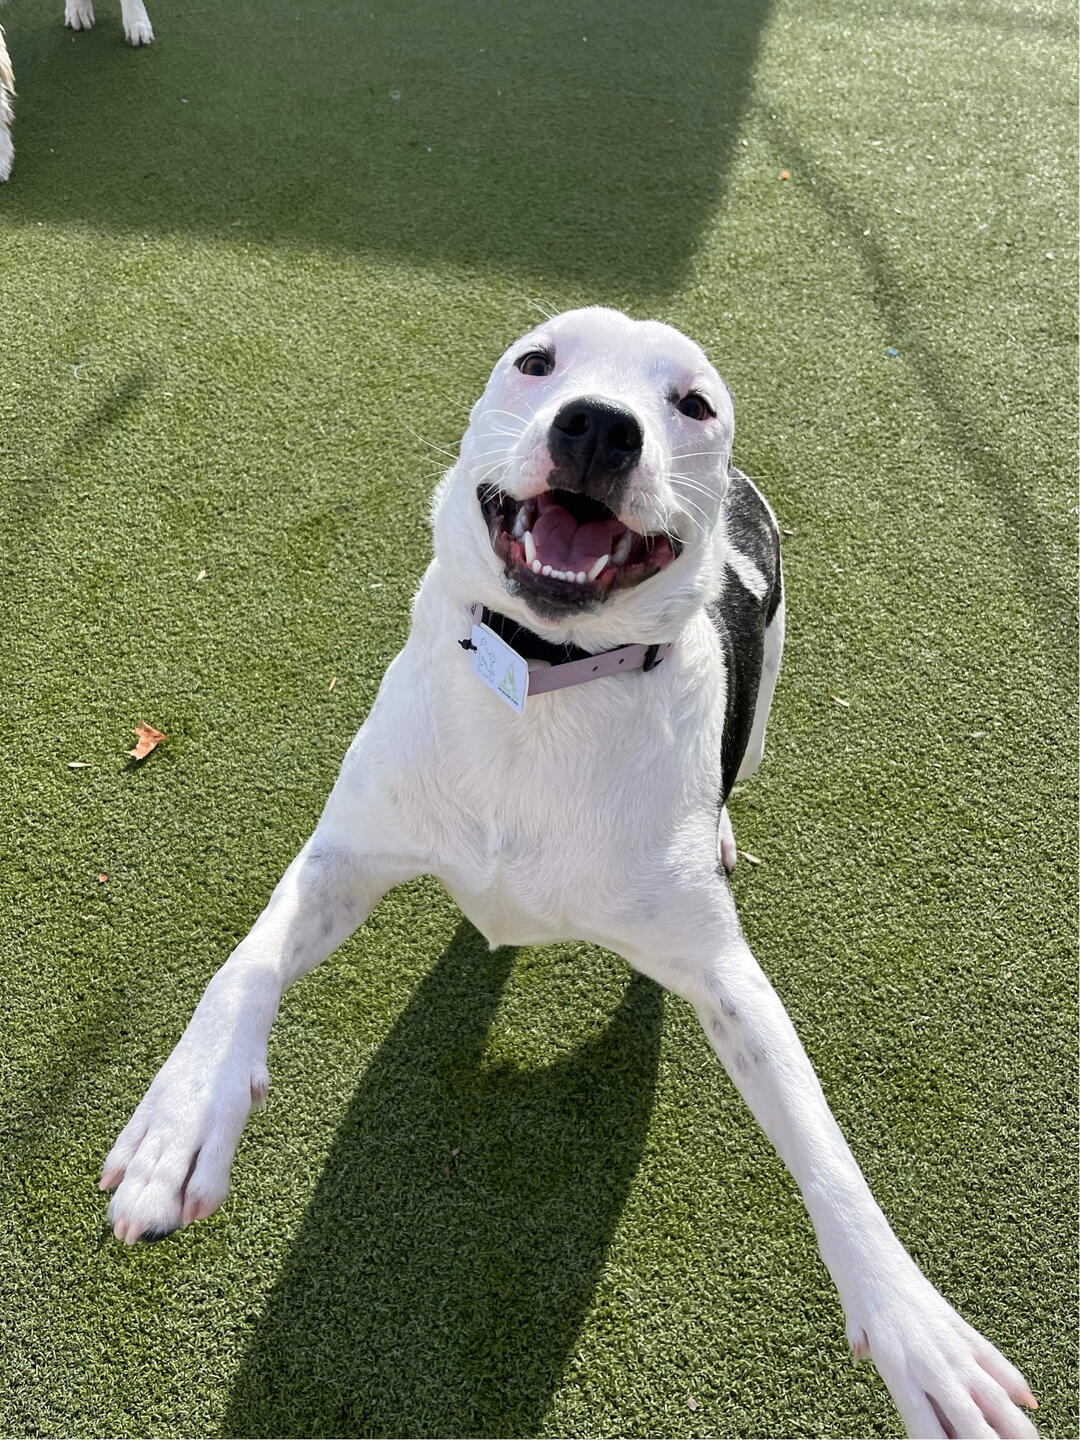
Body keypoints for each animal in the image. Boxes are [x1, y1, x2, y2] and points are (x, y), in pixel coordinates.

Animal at [100, 307, 1038, 1438]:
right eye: (537, 363)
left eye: (693, 403)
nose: (600, 426)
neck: (544, 676)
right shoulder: (346, 855)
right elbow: (243, 966)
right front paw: (182, 1119)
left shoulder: (724, 974)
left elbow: (825, 1149)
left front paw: (916, 1330)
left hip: (766, 706)